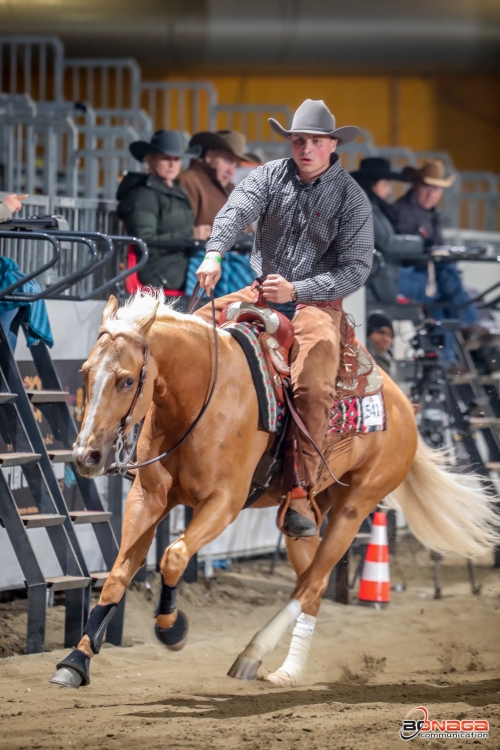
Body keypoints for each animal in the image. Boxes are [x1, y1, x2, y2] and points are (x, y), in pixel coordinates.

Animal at [49, 290, 496, 692]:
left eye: (126, 380)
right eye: (85, 372)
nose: (86, 455)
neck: (201, 397)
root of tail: (403, 406)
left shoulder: (223, 504)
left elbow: (174, 557)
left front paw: (172, 630)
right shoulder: (148, 498)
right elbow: (117, 574)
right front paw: (75, 662)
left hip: (356, 506)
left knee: (313, 583)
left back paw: (252, 653)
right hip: (306, 517)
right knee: (310, 585)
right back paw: (287, 671)